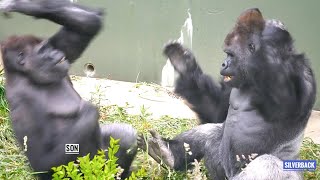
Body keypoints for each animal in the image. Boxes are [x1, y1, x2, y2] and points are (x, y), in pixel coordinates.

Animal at [0, 0, 136, 179]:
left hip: (105, 164)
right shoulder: (22, 102)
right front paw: (88, 113)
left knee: (125, 136)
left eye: (47, 46)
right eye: (42, 51)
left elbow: (88, 24)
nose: (56, 53)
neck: (26, 76)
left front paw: (22, 5)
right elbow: (42, 162)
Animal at [138, 7, 318, 179]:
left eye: (230, 54)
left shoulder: (299, 72)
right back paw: (168, 154)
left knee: (265, 165)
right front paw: (183, 64)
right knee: (211, 132)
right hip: (220, 169)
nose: (223, 64)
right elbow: (217, 111)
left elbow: (283, 104)